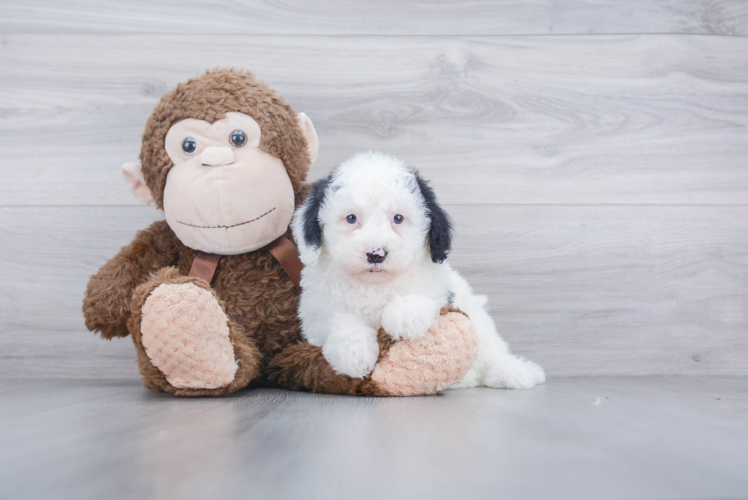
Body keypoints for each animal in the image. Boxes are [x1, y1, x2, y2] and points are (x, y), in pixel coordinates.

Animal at [290, 150, 544, 388]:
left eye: (398, 218)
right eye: (351, 218)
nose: (375, 253)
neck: (374, 286)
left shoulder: (437, 287)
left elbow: (417, 298)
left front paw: (405, 317)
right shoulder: (315, 312)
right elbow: (339, 320)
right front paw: (354, 354)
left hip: (480, 322)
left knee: (492, 354)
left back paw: (514, 372)